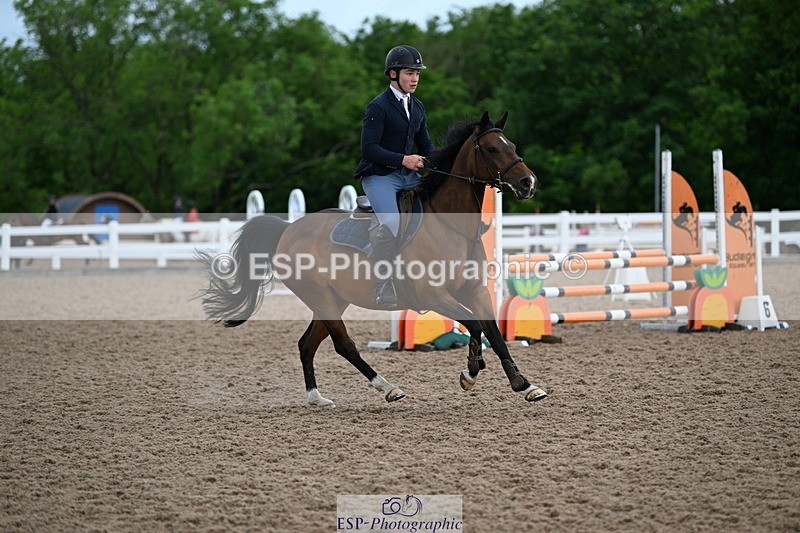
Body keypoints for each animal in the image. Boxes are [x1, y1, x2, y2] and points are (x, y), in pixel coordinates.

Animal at [198, 111, 548, 406]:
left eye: (512, 146)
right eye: (491, 148)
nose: (528, 183)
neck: (450, 226)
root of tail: (288, 230)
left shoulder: (474, 291)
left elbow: (494, 334)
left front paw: (525, 385)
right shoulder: (434, 295)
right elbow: (475, 326)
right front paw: (470, 372)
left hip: (333, 301)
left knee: (307, 344)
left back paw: (316, 398)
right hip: (322, 298)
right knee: (344, 345)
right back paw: (388, 388)